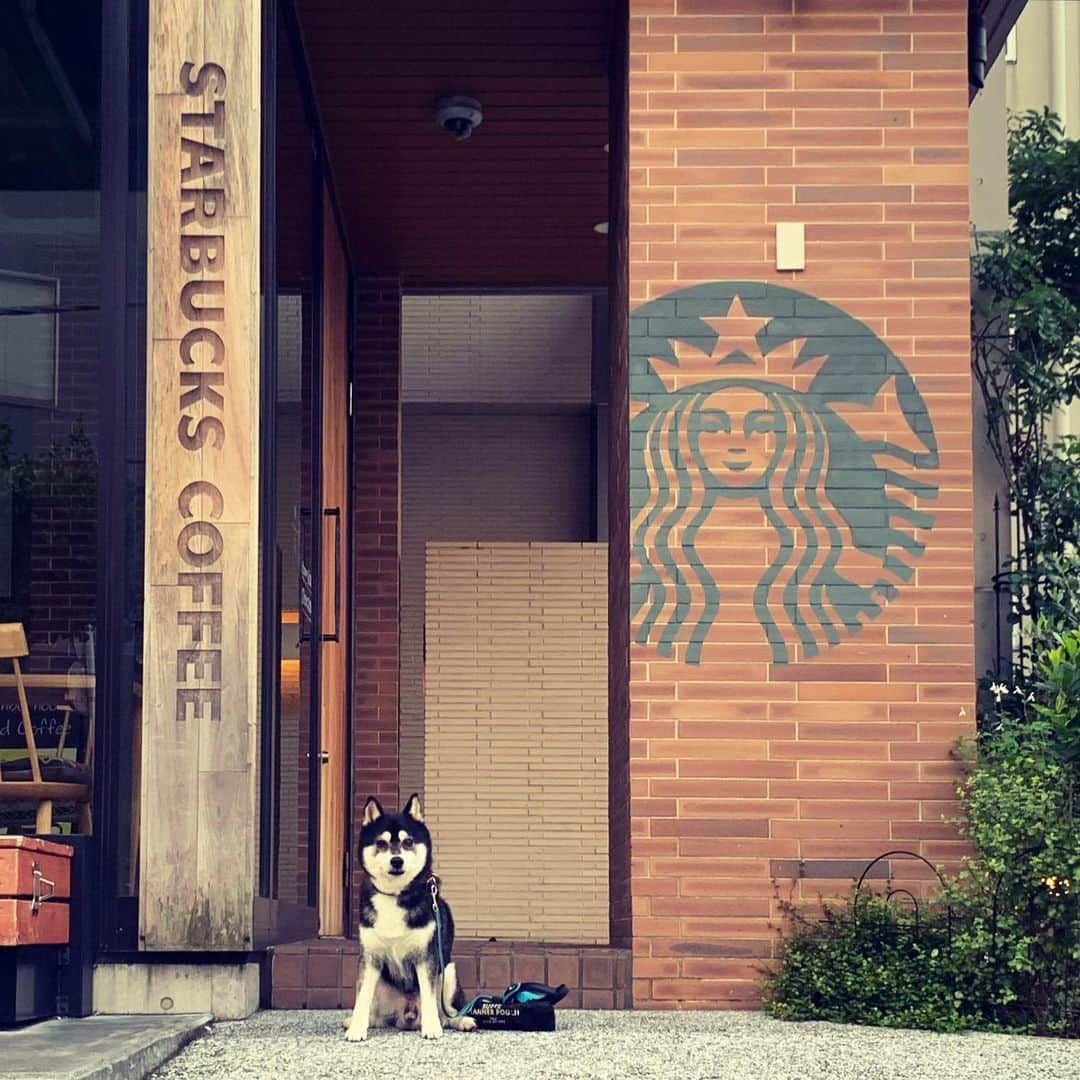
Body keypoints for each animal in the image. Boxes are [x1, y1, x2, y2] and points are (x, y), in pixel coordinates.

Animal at [343, 794, 475, 1036]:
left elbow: (429, 998)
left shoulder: (426, 957)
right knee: (376, 1014)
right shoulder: (370, 957)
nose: (397, 860)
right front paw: (357, 1029)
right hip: (382, 984)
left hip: (448, 973)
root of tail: (407, 1016)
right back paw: (364, 1020)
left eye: (408, 842)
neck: (396, 895)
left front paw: (431, 1028)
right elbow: (362, 998)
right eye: (381, 843)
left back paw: (460, 1021)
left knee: (447, 1012)